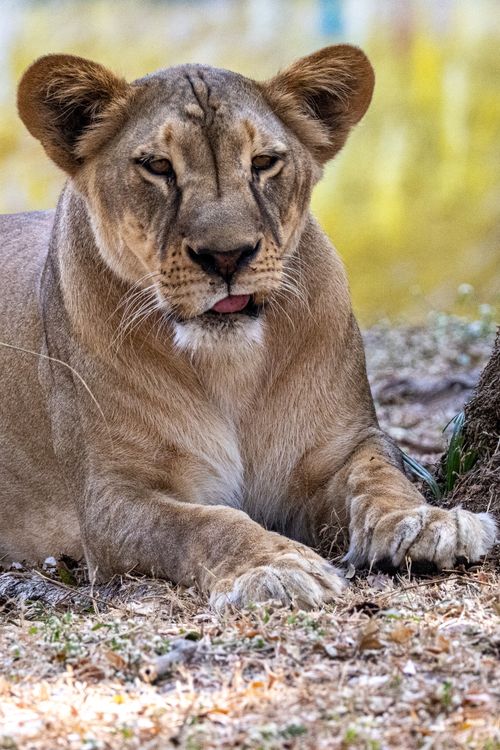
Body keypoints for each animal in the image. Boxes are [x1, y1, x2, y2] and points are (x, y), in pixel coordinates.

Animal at [0, 46, 495, 610]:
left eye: (263, 162)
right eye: (157, 166)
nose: (227, 255)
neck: (229, 367)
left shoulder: (340, 446)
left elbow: (381, 473)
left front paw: (427, 522)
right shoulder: (111, 499)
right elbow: (206, 523)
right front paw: (275, 566)